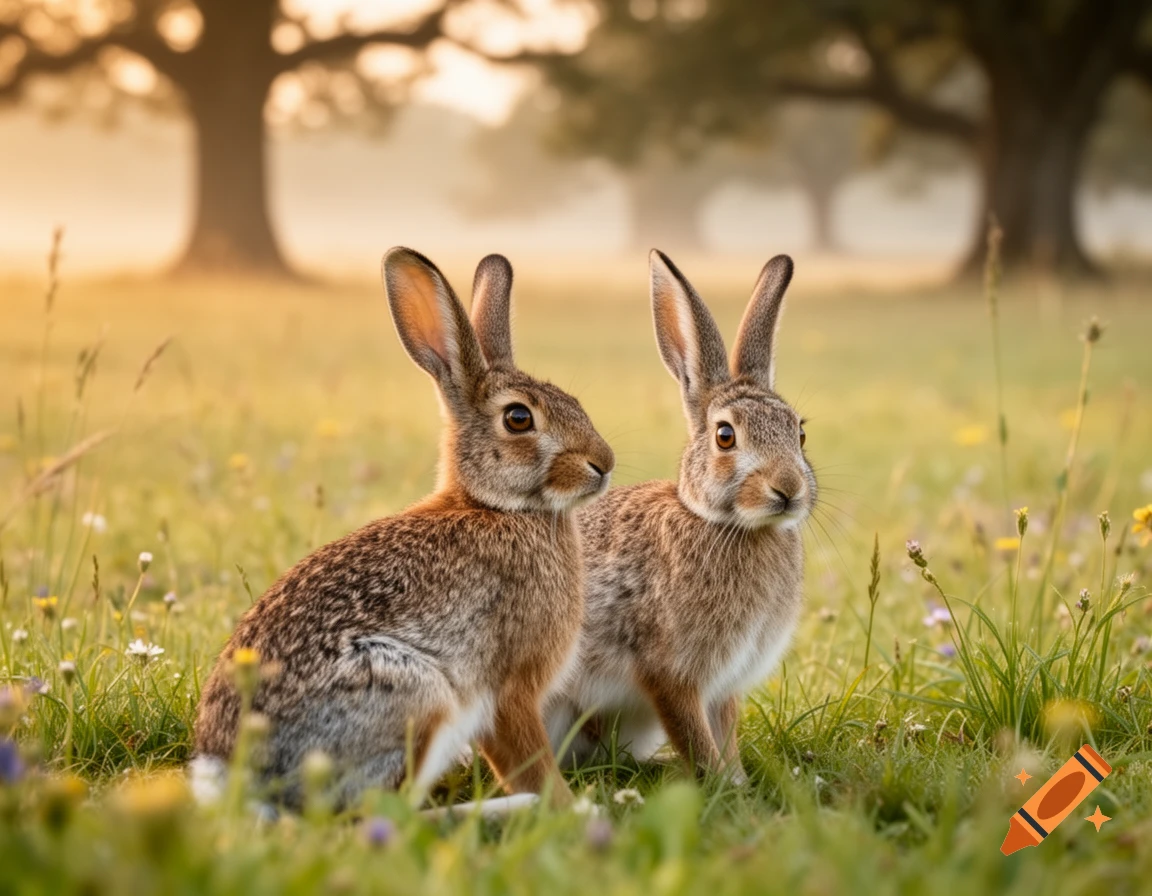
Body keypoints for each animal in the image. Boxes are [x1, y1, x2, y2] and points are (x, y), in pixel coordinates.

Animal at [193, 247, 615, 810]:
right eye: (519, 418)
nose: (603, 464)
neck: (498, 507)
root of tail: (239, 778)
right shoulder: (510, 685)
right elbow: (530, 760)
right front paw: (570, 807)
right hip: (417, 693)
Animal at [546, 250, 814, 785]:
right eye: (725, 436)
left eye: (799, 433)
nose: (789, 490)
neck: (726, 525)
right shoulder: (670, 673)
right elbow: (694, 735)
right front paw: (725, 788)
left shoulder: (724, 683)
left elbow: (724, 731)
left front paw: (737, 780)